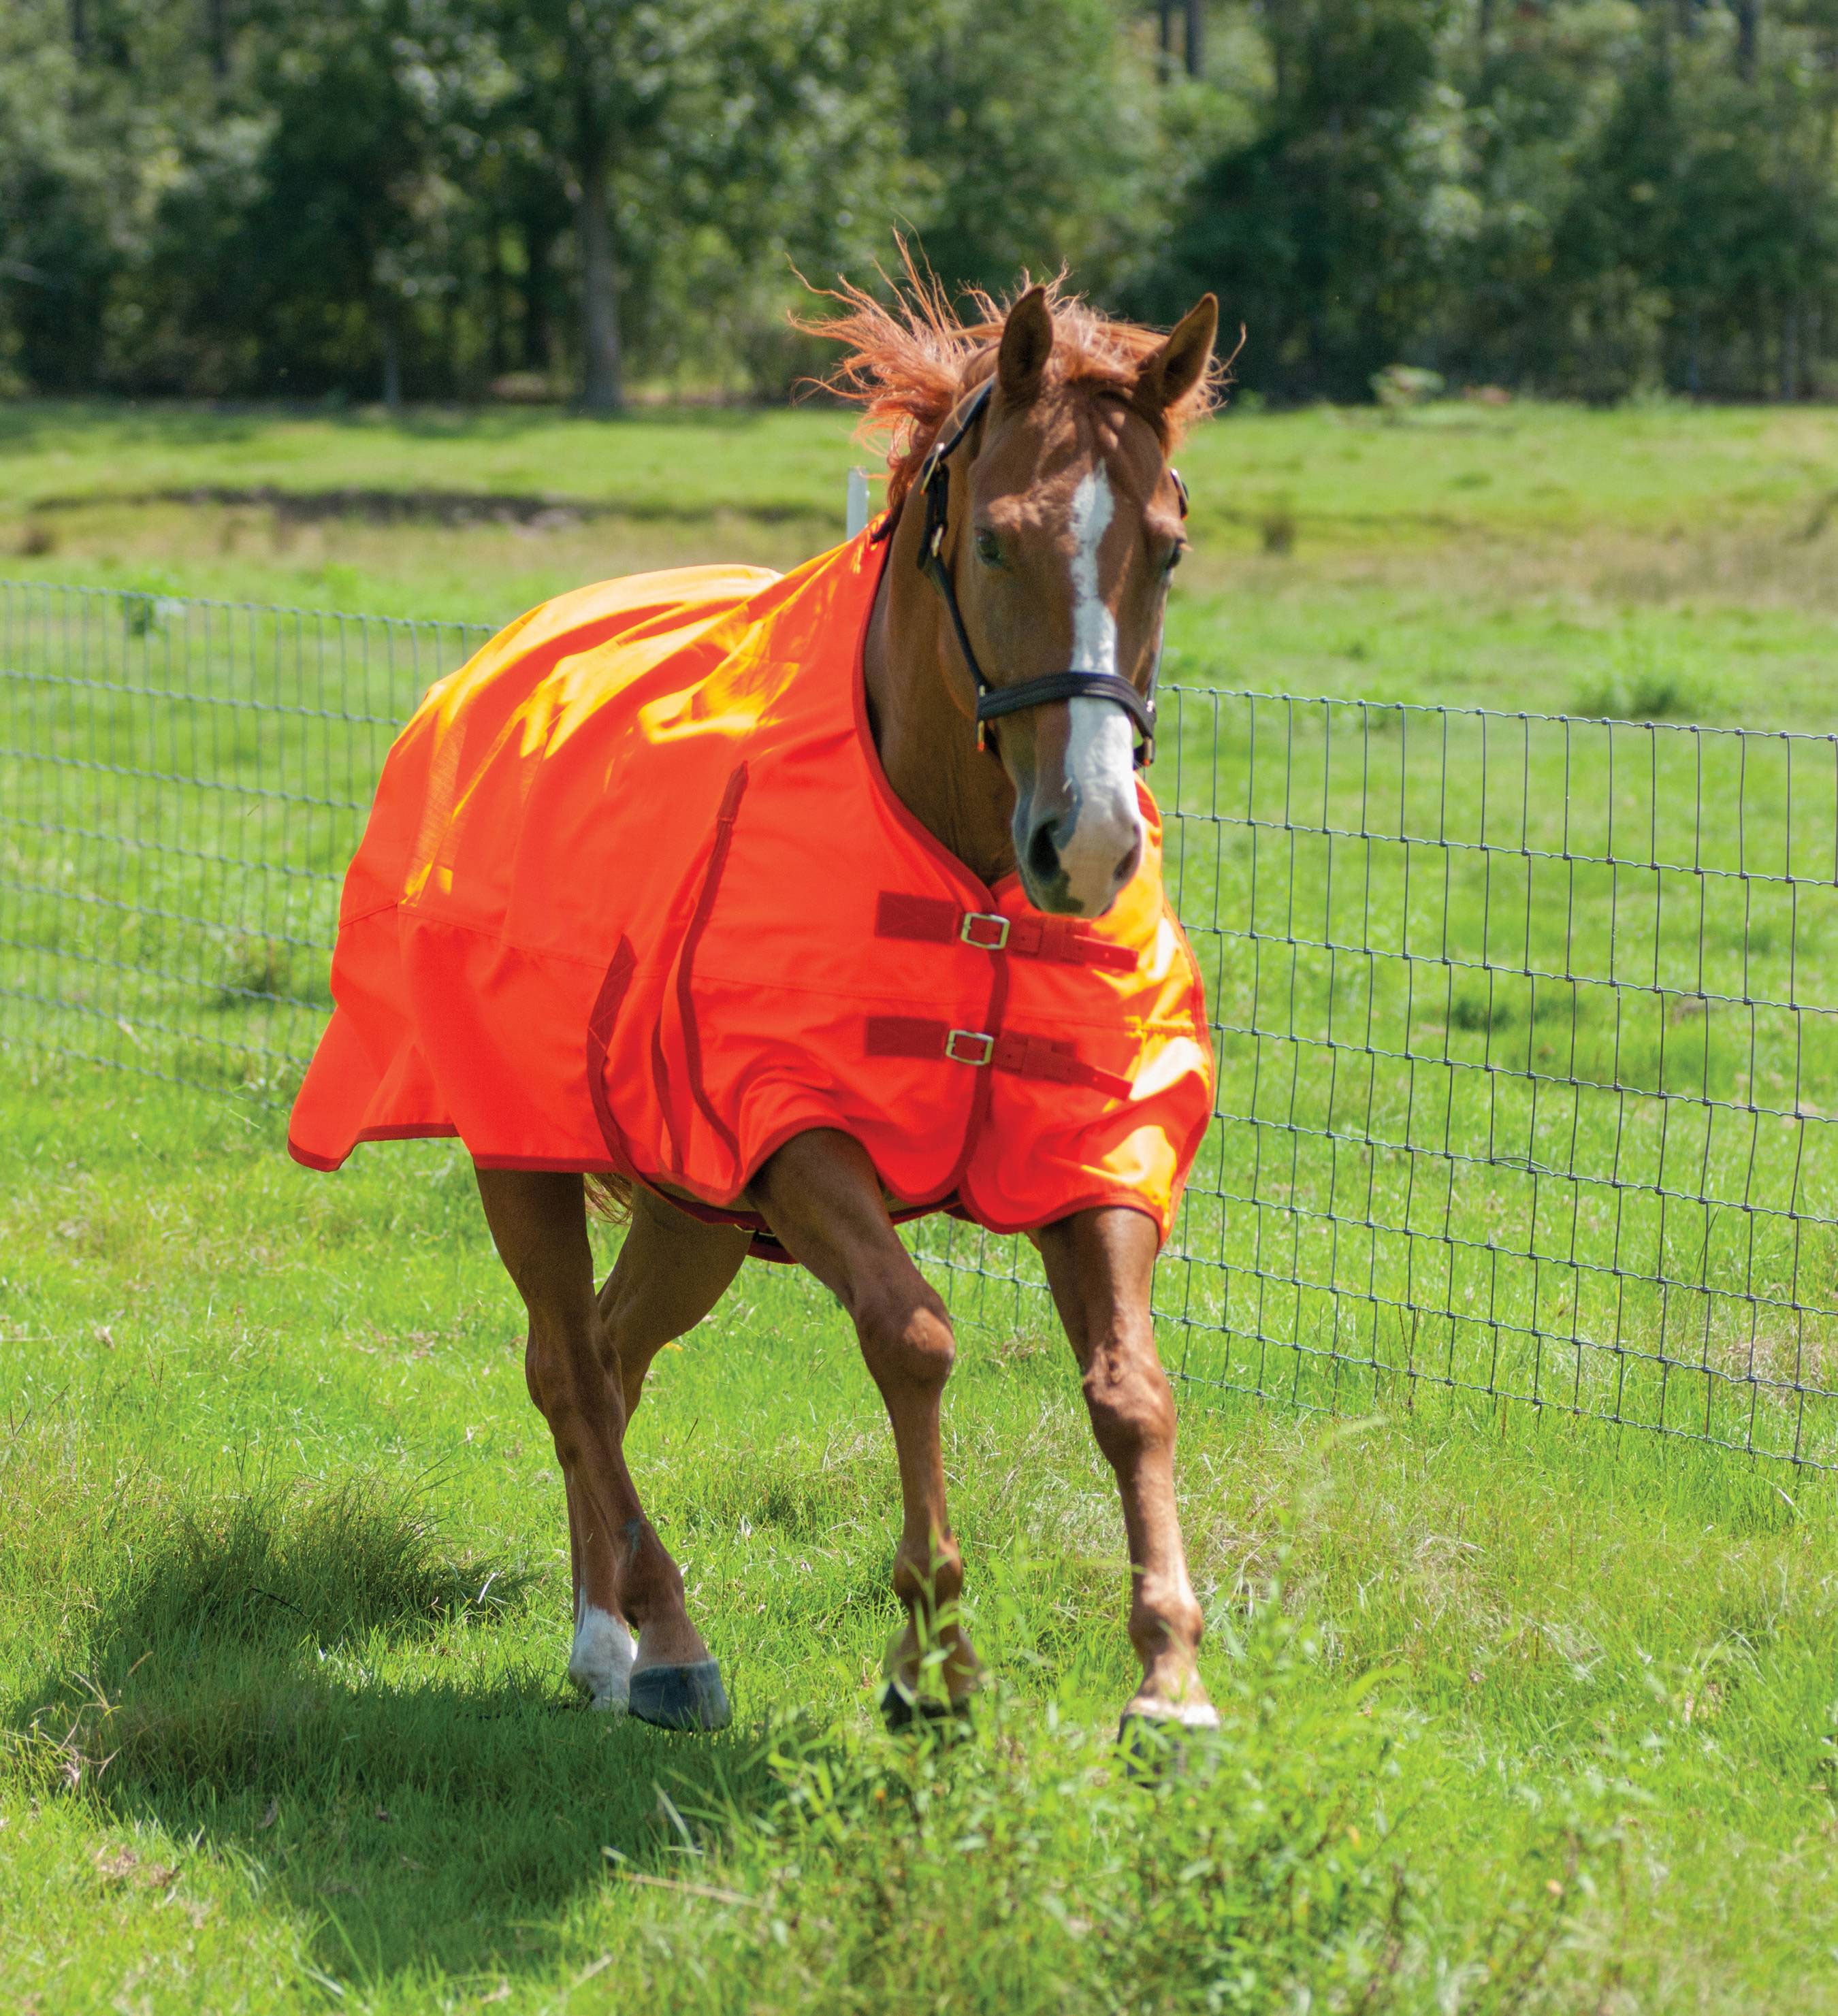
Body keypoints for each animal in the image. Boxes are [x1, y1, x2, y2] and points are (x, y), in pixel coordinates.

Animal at [293, 275, 1222, 1745]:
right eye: (1000, 543)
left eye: (1169, 549)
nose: (1087, 842)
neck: (961, 878)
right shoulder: (793, 1140)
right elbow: (914, 1336)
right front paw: (932, 1654)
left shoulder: (1091, 1155)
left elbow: (1135, 1393)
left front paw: (1170, 1684)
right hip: (527, 1162)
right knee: (568, 1366)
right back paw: (655, 1640)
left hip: (693, 1217)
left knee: (611, 1353)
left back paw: (611, 1628)